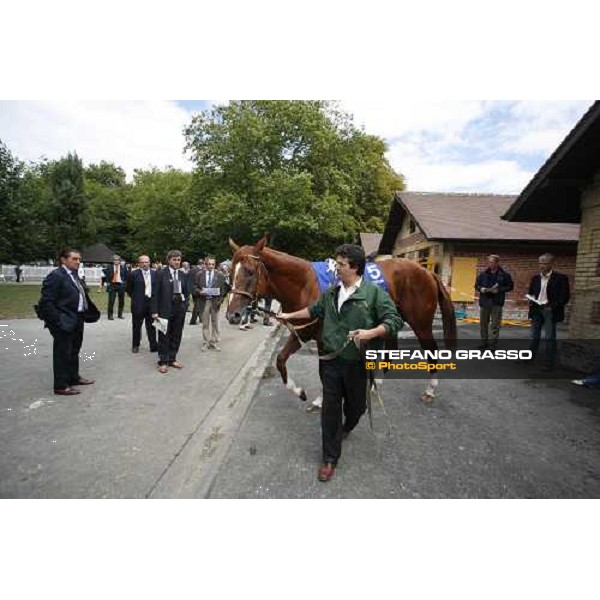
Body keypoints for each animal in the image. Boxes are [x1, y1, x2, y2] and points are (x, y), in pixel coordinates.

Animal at [227, 234, 458, 404]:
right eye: (230, 272)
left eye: (249, 271)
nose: (232, 315)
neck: (304, 284)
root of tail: (427, 272)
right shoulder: (302, 332)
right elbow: (280, 360)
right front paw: (300, 391)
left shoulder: (323, 340)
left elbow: (324, 371)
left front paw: (321, 400)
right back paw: (376, 385)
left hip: (421, 323)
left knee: (432, 351)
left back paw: (430, 390)